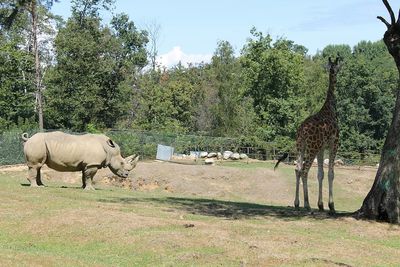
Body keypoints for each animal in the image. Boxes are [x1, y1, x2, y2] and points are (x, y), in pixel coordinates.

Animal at [276, 56, 342, 214]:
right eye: (336, 67)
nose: (336, 73)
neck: (329, 108)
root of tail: (302, 130)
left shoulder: (321, 148)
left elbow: (320, 174)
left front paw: (321, 205)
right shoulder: (334, 143)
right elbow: (330, 174)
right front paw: (331, 205)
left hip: (301, 146)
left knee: (297, 169)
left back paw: (297, 202)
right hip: (311, 147)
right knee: (305, 170)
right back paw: (306, 204)